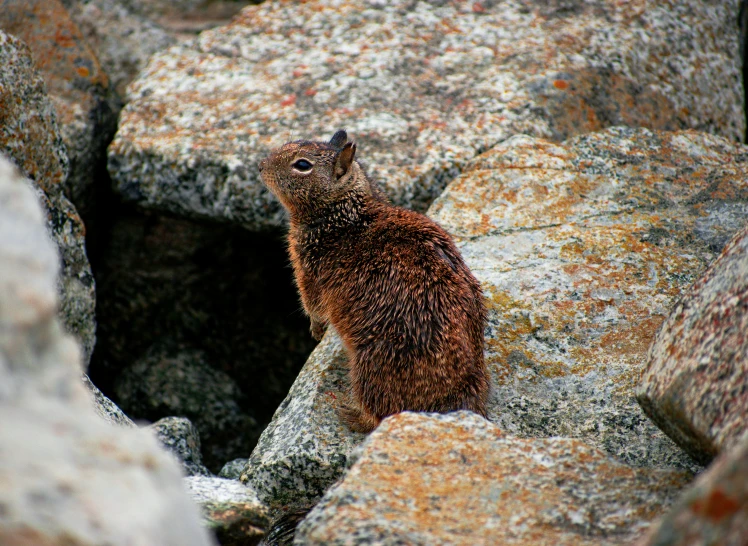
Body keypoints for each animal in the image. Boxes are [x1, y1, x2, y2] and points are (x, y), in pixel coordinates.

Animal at [258, 131, 490, 430]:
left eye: (302, 165)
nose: (261, 166)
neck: (344, 209)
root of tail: (463, 393)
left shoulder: (308, 275)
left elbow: (313, 307)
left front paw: (317, 332)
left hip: (369, 369)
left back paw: (350, 414)